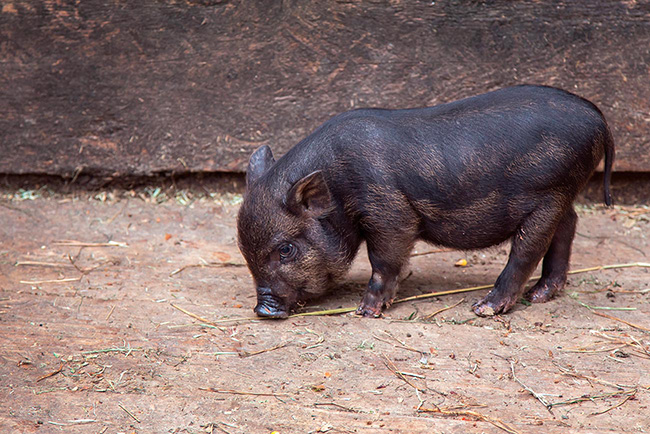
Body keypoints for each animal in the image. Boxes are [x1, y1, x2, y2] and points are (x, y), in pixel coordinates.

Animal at [237, 86, 612, 320]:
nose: (263, 310)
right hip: (563, 195)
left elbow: (384, 258)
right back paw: (539, 295)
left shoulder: (390, 212)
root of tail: (598, 118)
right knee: (568, 227)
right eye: (243, 250)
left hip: (549, 194)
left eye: (285, 249)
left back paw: (484, 308)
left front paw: (365, 311)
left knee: (527, 250)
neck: (337, 186)